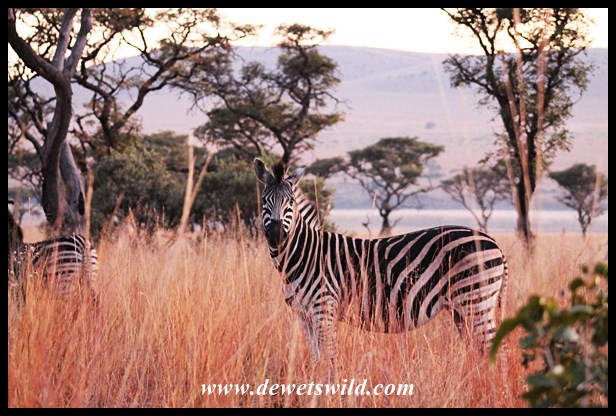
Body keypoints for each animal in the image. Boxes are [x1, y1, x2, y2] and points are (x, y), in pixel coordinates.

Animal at [254, 159, 509, 364]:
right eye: (265, 200)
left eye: (290, 203)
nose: (276, 235)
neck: (304, 255)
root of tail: (494, 243)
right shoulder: (303, 315)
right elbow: (317, 359)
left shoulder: (324, 308)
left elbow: (330, 358)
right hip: (462, 308)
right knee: (480, 350)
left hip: (476, 300)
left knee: (498, 349)